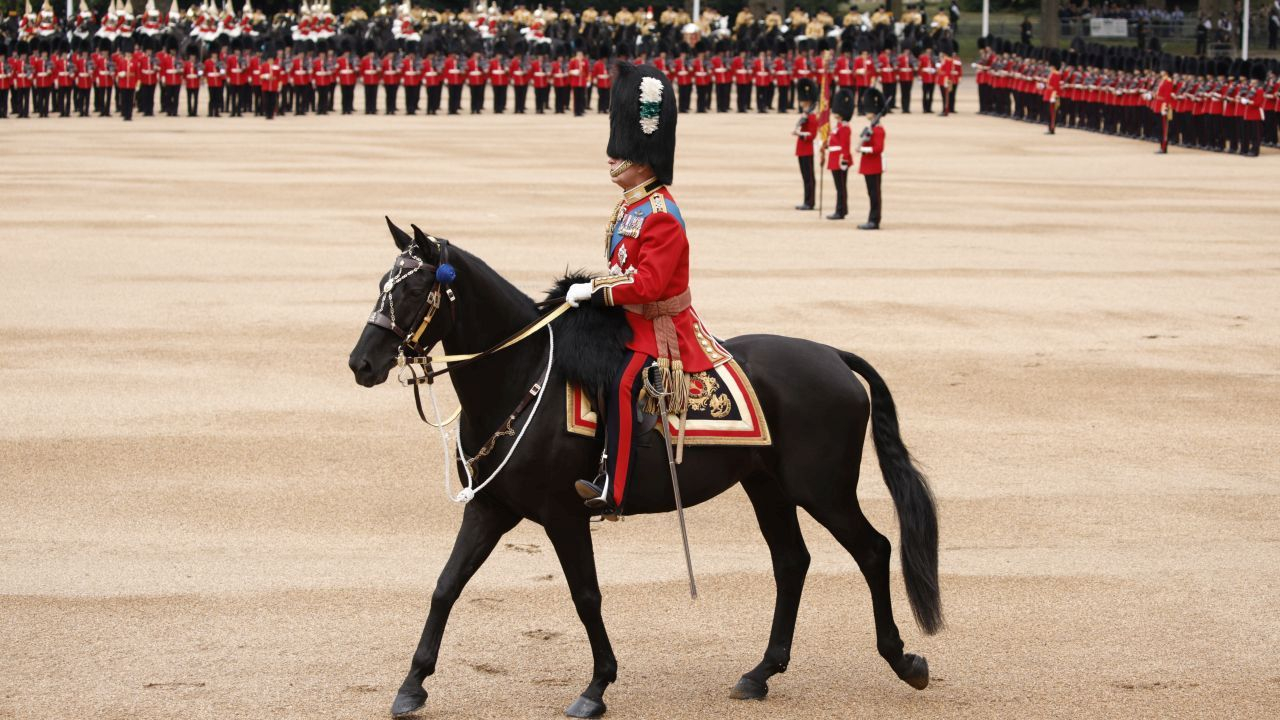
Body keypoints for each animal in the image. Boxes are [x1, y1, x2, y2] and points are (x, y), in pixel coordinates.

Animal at [350, 221, 942, 712]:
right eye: (382, 283)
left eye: (411, 291)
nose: (361, 363)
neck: (519, 376)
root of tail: (833, 355)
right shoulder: (492, 508)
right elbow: (445, 585)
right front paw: (413, 684)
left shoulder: (564, 513)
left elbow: (586, 595)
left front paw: (596, 686)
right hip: (767, 487)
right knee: (792, 562)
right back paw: (761, 673)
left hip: (822, 489)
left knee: (873, 550)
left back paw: (903, 659)